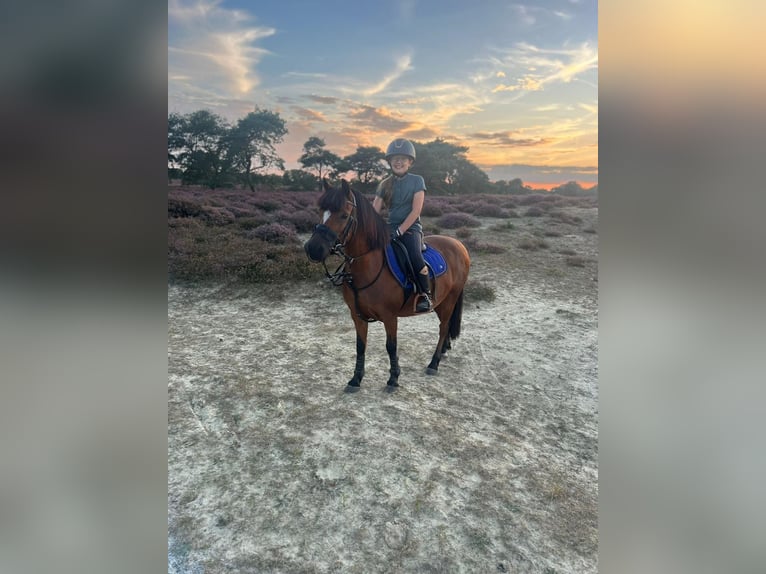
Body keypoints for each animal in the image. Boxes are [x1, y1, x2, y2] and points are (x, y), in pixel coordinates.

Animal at [304, 179, 471, 391]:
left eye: (343, 215)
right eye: (320, 211)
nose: (313, 248)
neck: (369, 266)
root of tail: (459, 245)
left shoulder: (390, 317)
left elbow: (391, 346)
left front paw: (393, 378)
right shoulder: (357, 315)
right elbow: (360, 346)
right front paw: (356, 379)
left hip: (450, 299)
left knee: (443, 328)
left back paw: (434, 363)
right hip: (441, 302)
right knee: (446, 326)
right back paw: (442, 352)